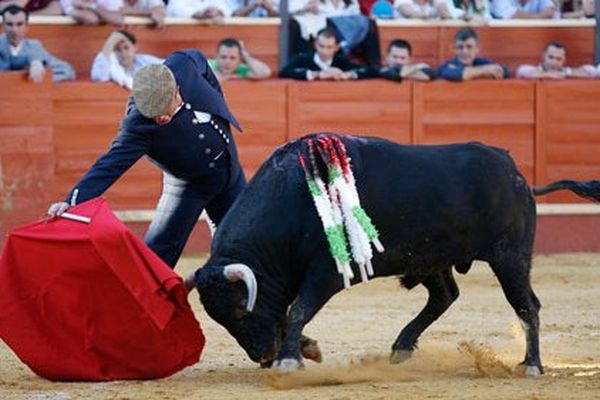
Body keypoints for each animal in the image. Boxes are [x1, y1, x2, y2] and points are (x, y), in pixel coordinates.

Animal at [188, 134, 600, 376]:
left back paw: (532, 364)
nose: (262, 356)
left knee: (527, 306)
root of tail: (517, 174)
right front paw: (305, 348)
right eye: (218, 319)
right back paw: (402, 347)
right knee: (445, 296)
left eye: (241, 309)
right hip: (432, 257)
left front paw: (290, 358)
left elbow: (298, 308)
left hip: (510, 257)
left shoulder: (327, 270)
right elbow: (291, 312)